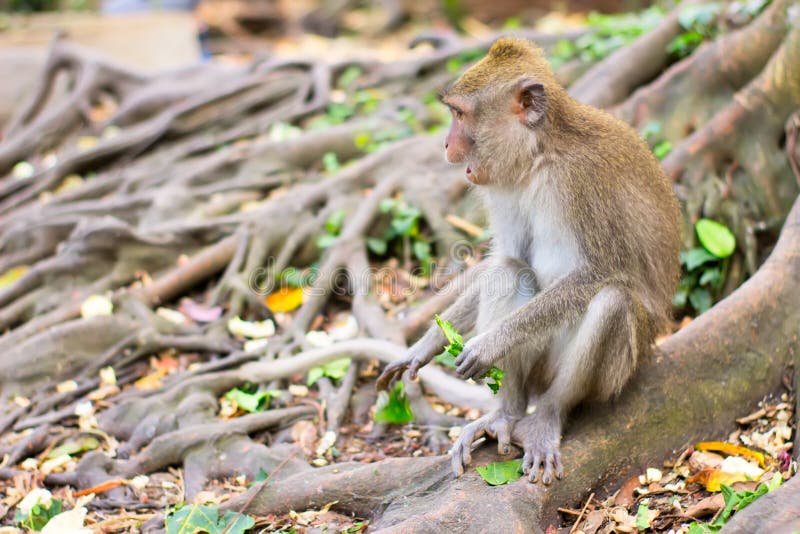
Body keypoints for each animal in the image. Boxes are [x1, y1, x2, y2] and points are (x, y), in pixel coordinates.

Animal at [376, 37, 680, 486]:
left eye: (459, 115)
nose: (446, 145)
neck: (540, 157)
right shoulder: (502, 182)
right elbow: (508, 258)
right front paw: (424, 345)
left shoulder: (581, 181)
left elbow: (600, 272)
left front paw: (490, 343)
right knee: (510, 274)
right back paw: (506, 413)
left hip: (621, 370)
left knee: (611, 302)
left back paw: (547, 415)